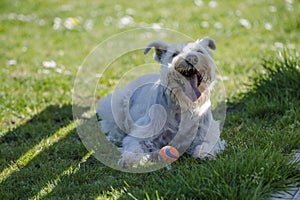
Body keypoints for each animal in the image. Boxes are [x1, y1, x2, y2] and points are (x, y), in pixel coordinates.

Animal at [97, 37, 226, 167]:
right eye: (174, 54)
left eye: (199, 51)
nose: (191, 58)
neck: (182, 105)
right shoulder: (141, 134)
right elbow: (134, 146)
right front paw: (130, 160)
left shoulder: (207, 131)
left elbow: (208, 142)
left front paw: (204, 154)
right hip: (117, 104)